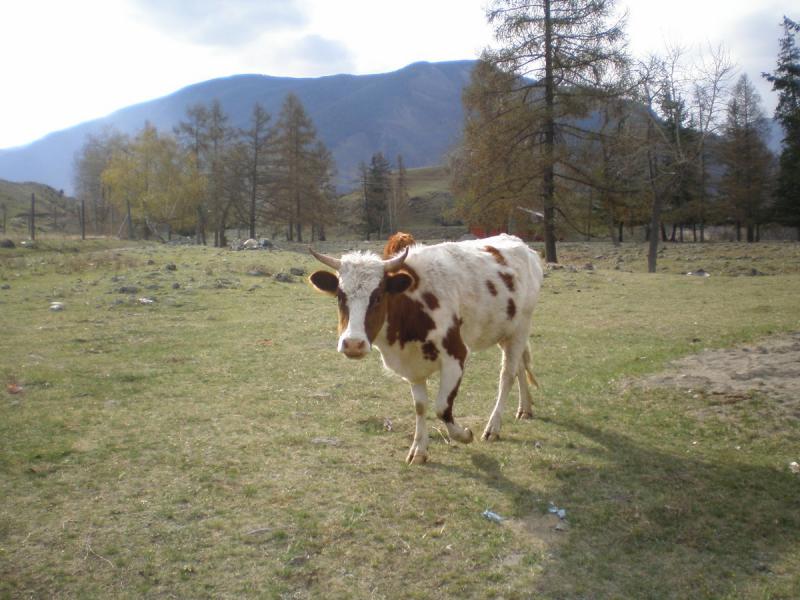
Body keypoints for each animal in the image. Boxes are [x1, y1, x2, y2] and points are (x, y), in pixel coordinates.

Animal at [306, 233, 544, 464]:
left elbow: (442, 407)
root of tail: (522, 245)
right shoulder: (412, 366)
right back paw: (525, 408)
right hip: (505, 332)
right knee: (519, 366)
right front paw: (419, 449)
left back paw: (493, 427)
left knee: (507, 375)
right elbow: (420, 406)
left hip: (521, 327)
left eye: (378, 296)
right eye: (340, 296)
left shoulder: (456, 356)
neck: (412, 306)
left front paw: (464, 435)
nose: (353, 343)